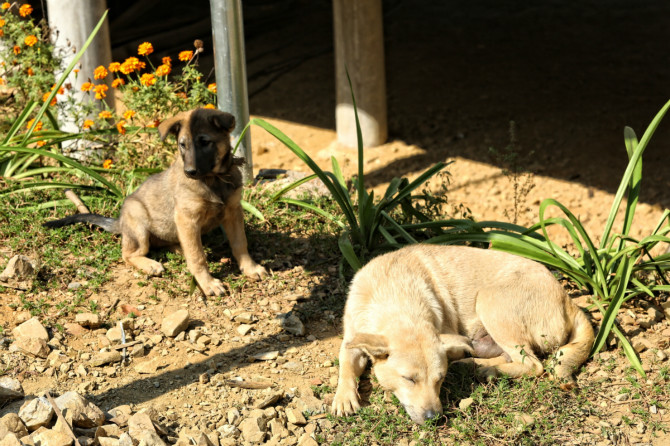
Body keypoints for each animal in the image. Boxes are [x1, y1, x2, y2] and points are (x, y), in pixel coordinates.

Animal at [42, 107, 270, 296]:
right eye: (182, 145)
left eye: (205, 142)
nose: (189, 172)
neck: (213, 179)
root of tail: (120, 222)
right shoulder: (187, 219)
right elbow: (198, 257)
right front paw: (207, 283)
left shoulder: (233, 211)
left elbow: (240, 243)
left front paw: (251, 268)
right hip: (138, 221)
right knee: (129, 254)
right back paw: (150, 264)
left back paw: (178, 248)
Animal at [334, 246, 596, 424]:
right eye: (409, 379)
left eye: (440, 379)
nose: (433, 418)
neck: (396, 297)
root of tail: (568, 300)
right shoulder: (351, 340)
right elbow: (345, 366)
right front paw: (343, 398)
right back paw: (475, 364)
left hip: (490, 302)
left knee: (532, 364)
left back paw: (485, 369)